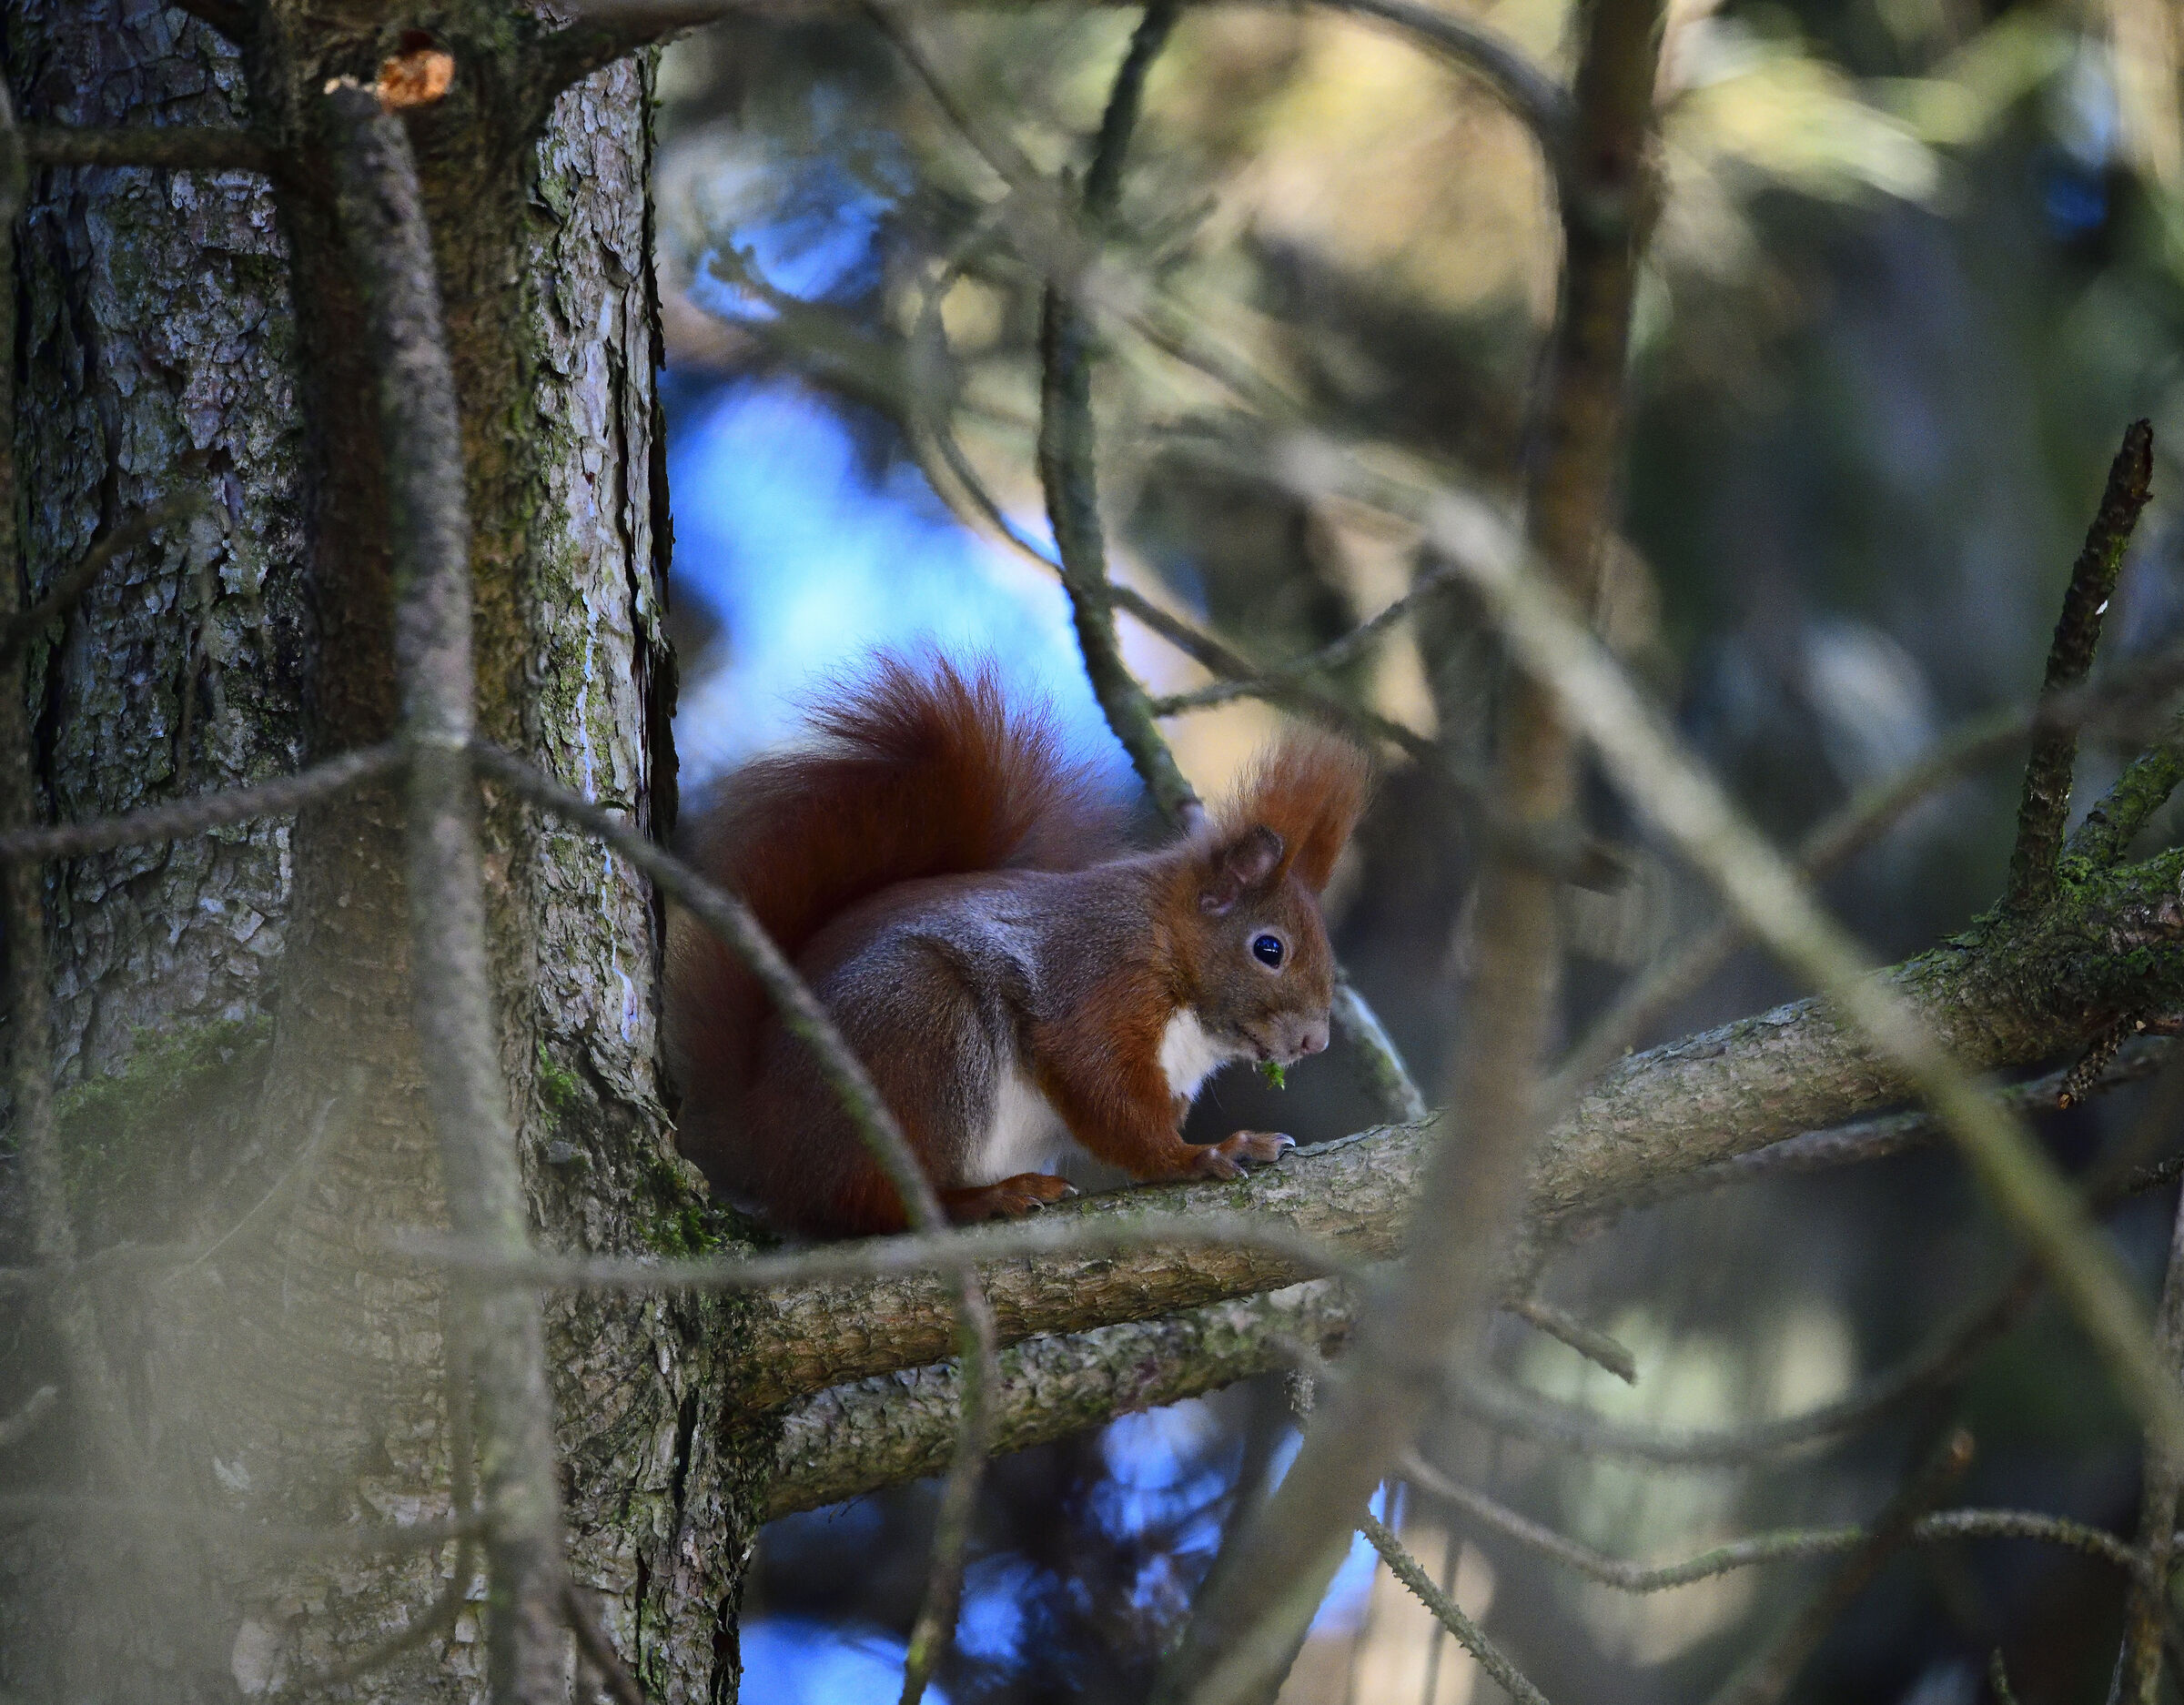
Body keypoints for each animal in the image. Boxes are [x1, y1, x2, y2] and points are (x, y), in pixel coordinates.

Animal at [664, 654, 1372, 1237]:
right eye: (1270, 949)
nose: (1315, 1042)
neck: (1168, 947)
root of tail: (765, 1140)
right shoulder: (1099, 979)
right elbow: (1105, 1093)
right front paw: (1204, 1155)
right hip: (916, 1032)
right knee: (874, 1205)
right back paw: (980, 1201)